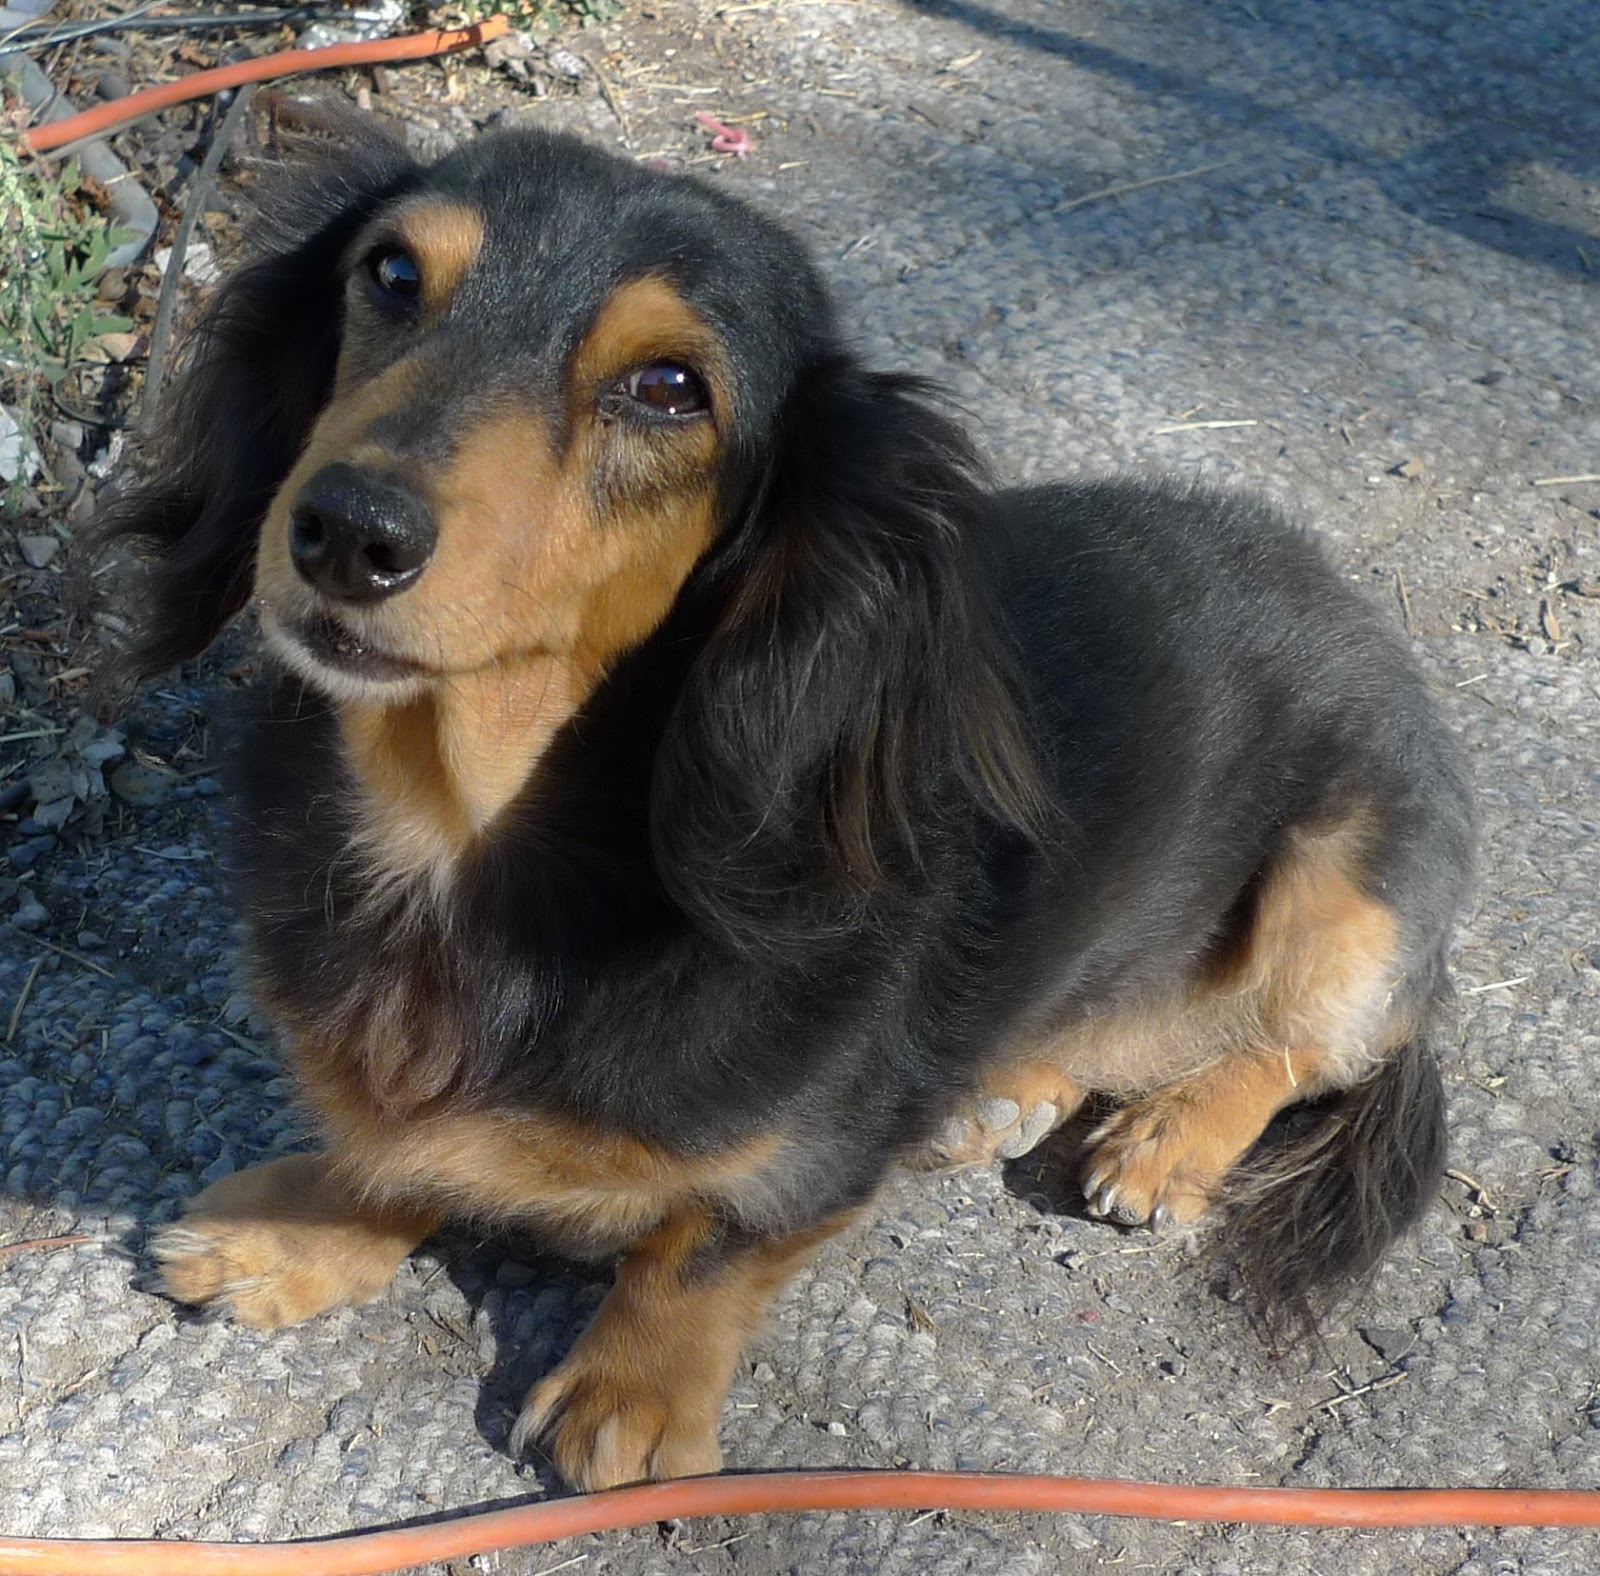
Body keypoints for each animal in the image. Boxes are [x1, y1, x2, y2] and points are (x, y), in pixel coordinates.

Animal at [92, 116, 1474, 1493]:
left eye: (668, 387)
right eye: (388, 273)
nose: (347, 532)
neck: (463, 833)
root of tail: (1351, 602)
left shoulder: (798, 1160)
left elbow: (705, 1241)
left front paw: (633, 1393)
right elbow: (390, 1147)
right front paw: (301, 1228)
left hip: (1350, 894)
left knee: (1303, 1048)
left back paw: (1171, 1135)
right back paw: (1005, 1090)